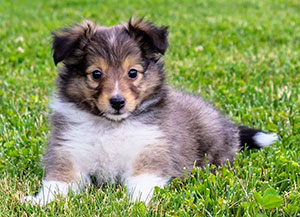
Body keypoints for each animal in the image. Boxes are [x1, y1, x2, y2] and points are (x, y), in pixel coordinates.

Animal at [22, 18, 278, 205]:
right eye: (96, 74)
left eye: (132, 73)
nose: (117, 102)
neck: (112, 126)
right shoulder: (69, 151)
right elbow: (57, 183)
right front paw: (38, 202)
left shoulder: (150, 150)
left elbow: (142, 182)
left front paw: (136, 203)